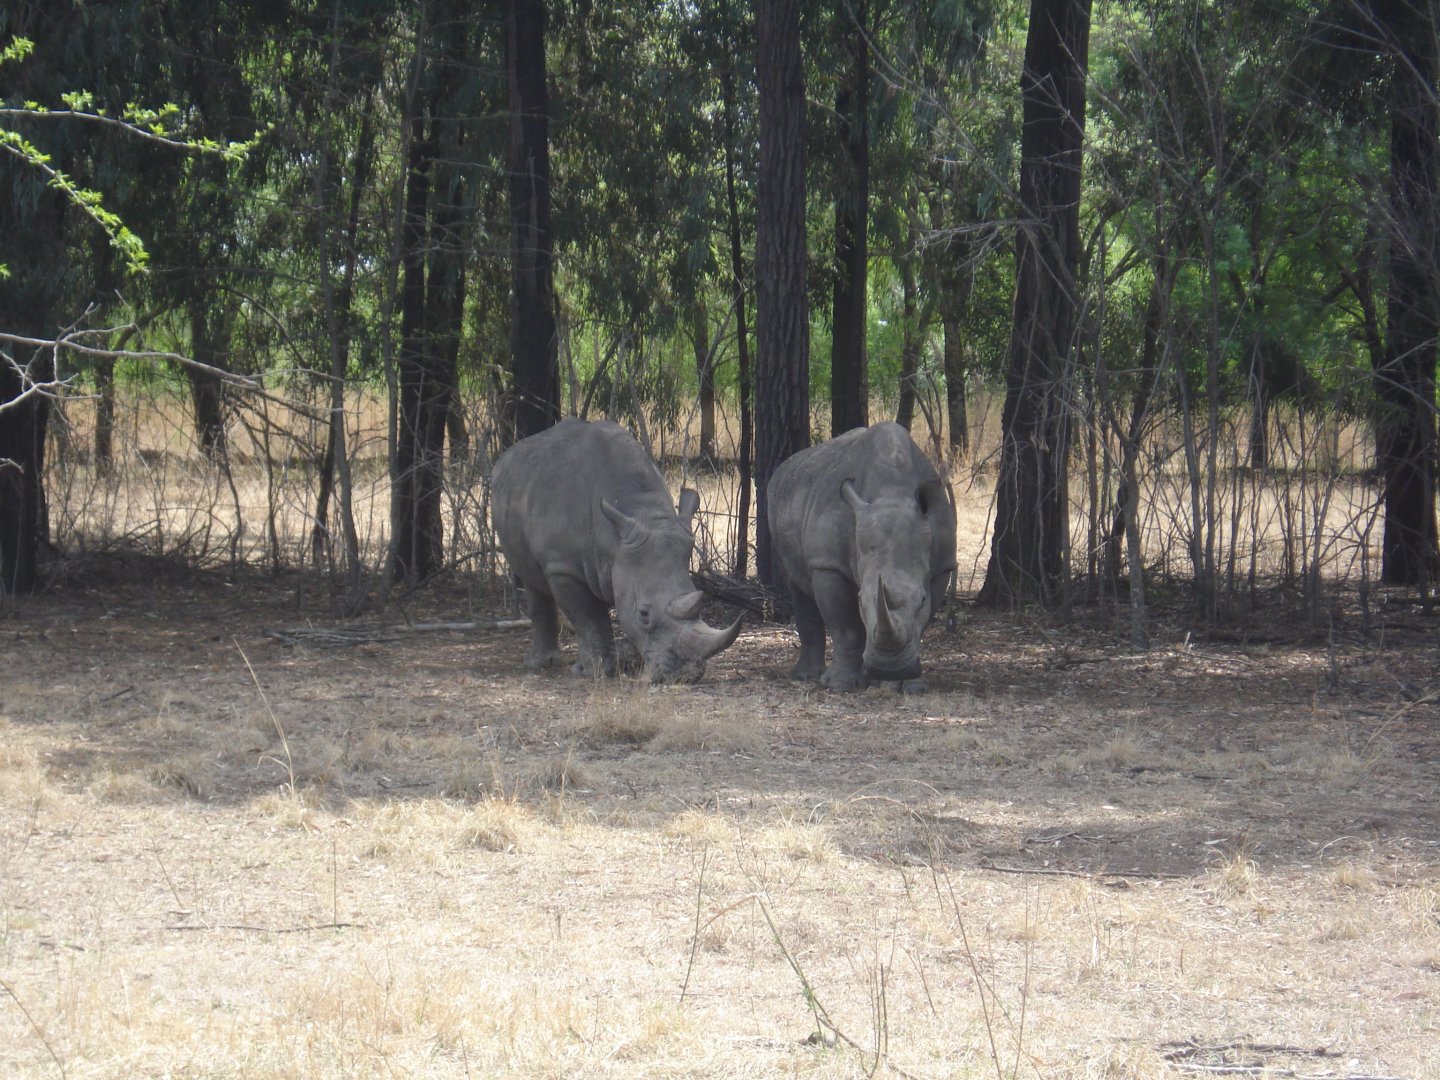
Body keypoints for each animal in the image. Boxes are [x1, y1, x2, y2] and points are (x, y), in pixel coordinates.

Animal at [490, 418, 742, 684]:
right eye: (644, 614)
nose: (686, 675)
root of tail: (505, 458)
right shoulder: (563, 568)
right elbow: (588, 617)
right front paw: (596, 672)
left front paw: (631, 666)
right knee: (531, 578)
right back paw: (542, 664)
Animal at [768, 422, 957, 692]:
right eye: (860, 600)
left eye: (921, 599)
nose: (888, 668)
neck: (893, 493)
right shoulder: (829, 564)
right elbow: (845, 627)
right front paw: (840, 685)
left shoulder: (941, 565)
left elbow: (923, 621)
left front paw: (910, 686)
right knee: (797, 584)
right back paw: (806, 676)